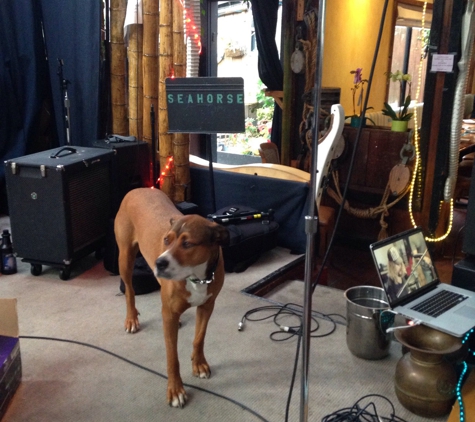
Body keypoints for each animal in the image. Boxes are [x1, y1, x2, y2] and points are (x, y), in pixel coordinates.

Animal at [113, 187, 229, 406]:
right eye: (167, 240)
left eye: (188, 243)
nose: (159, 263)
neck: (196, 277)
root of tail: (138, 189)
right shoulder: (169, 316)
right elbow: (172, 357)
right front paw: (175, 390)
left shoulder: (207, 305)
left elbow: (199, 338)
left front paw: (199, 364)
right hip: (125, 256)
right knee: (130, 290)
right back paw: (131, 318)